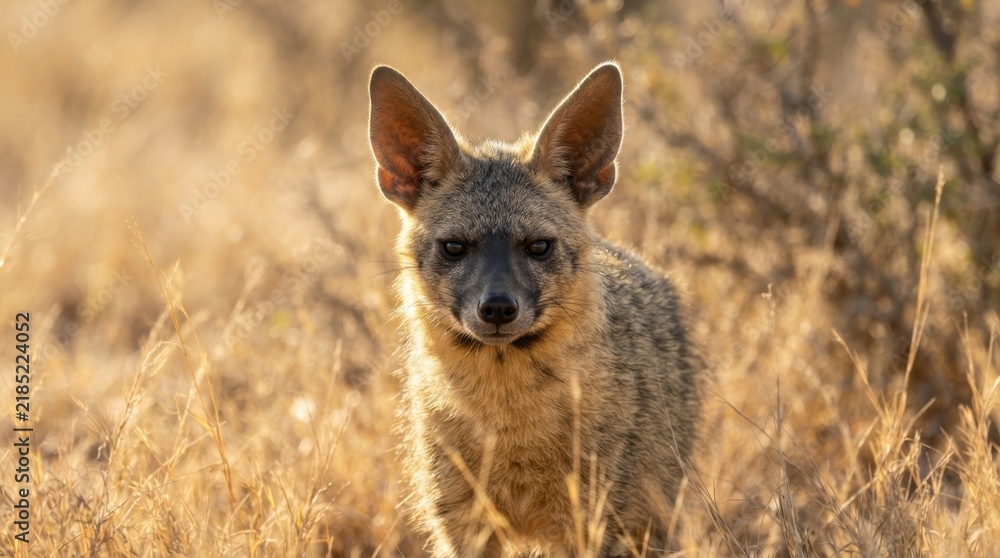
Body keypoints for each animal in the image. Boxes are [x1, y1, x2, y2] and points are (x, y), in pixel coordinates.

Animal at [368, 62, 705, 557]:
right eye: (454, 247)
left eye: (539, 246)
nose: (497, 307)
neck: (509, 426)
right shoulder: (460, 523)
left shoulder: (592, 521)